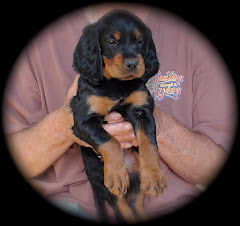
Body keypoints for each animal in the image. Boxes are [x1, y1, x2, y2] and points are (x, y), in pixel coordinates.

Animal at [70, 9, 166, 223]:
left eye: (140, 41)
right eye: (112, 42)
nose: (132, 64)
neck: (116, 84)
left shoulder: (143, 112)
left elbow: (149, 143)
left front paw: (154, 175)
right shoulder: (82, 121)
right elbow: (109, 140)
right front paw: (116, 174)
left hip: (137, 187)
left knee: (137, 207)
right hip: (110, 193)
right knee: (123, 210)